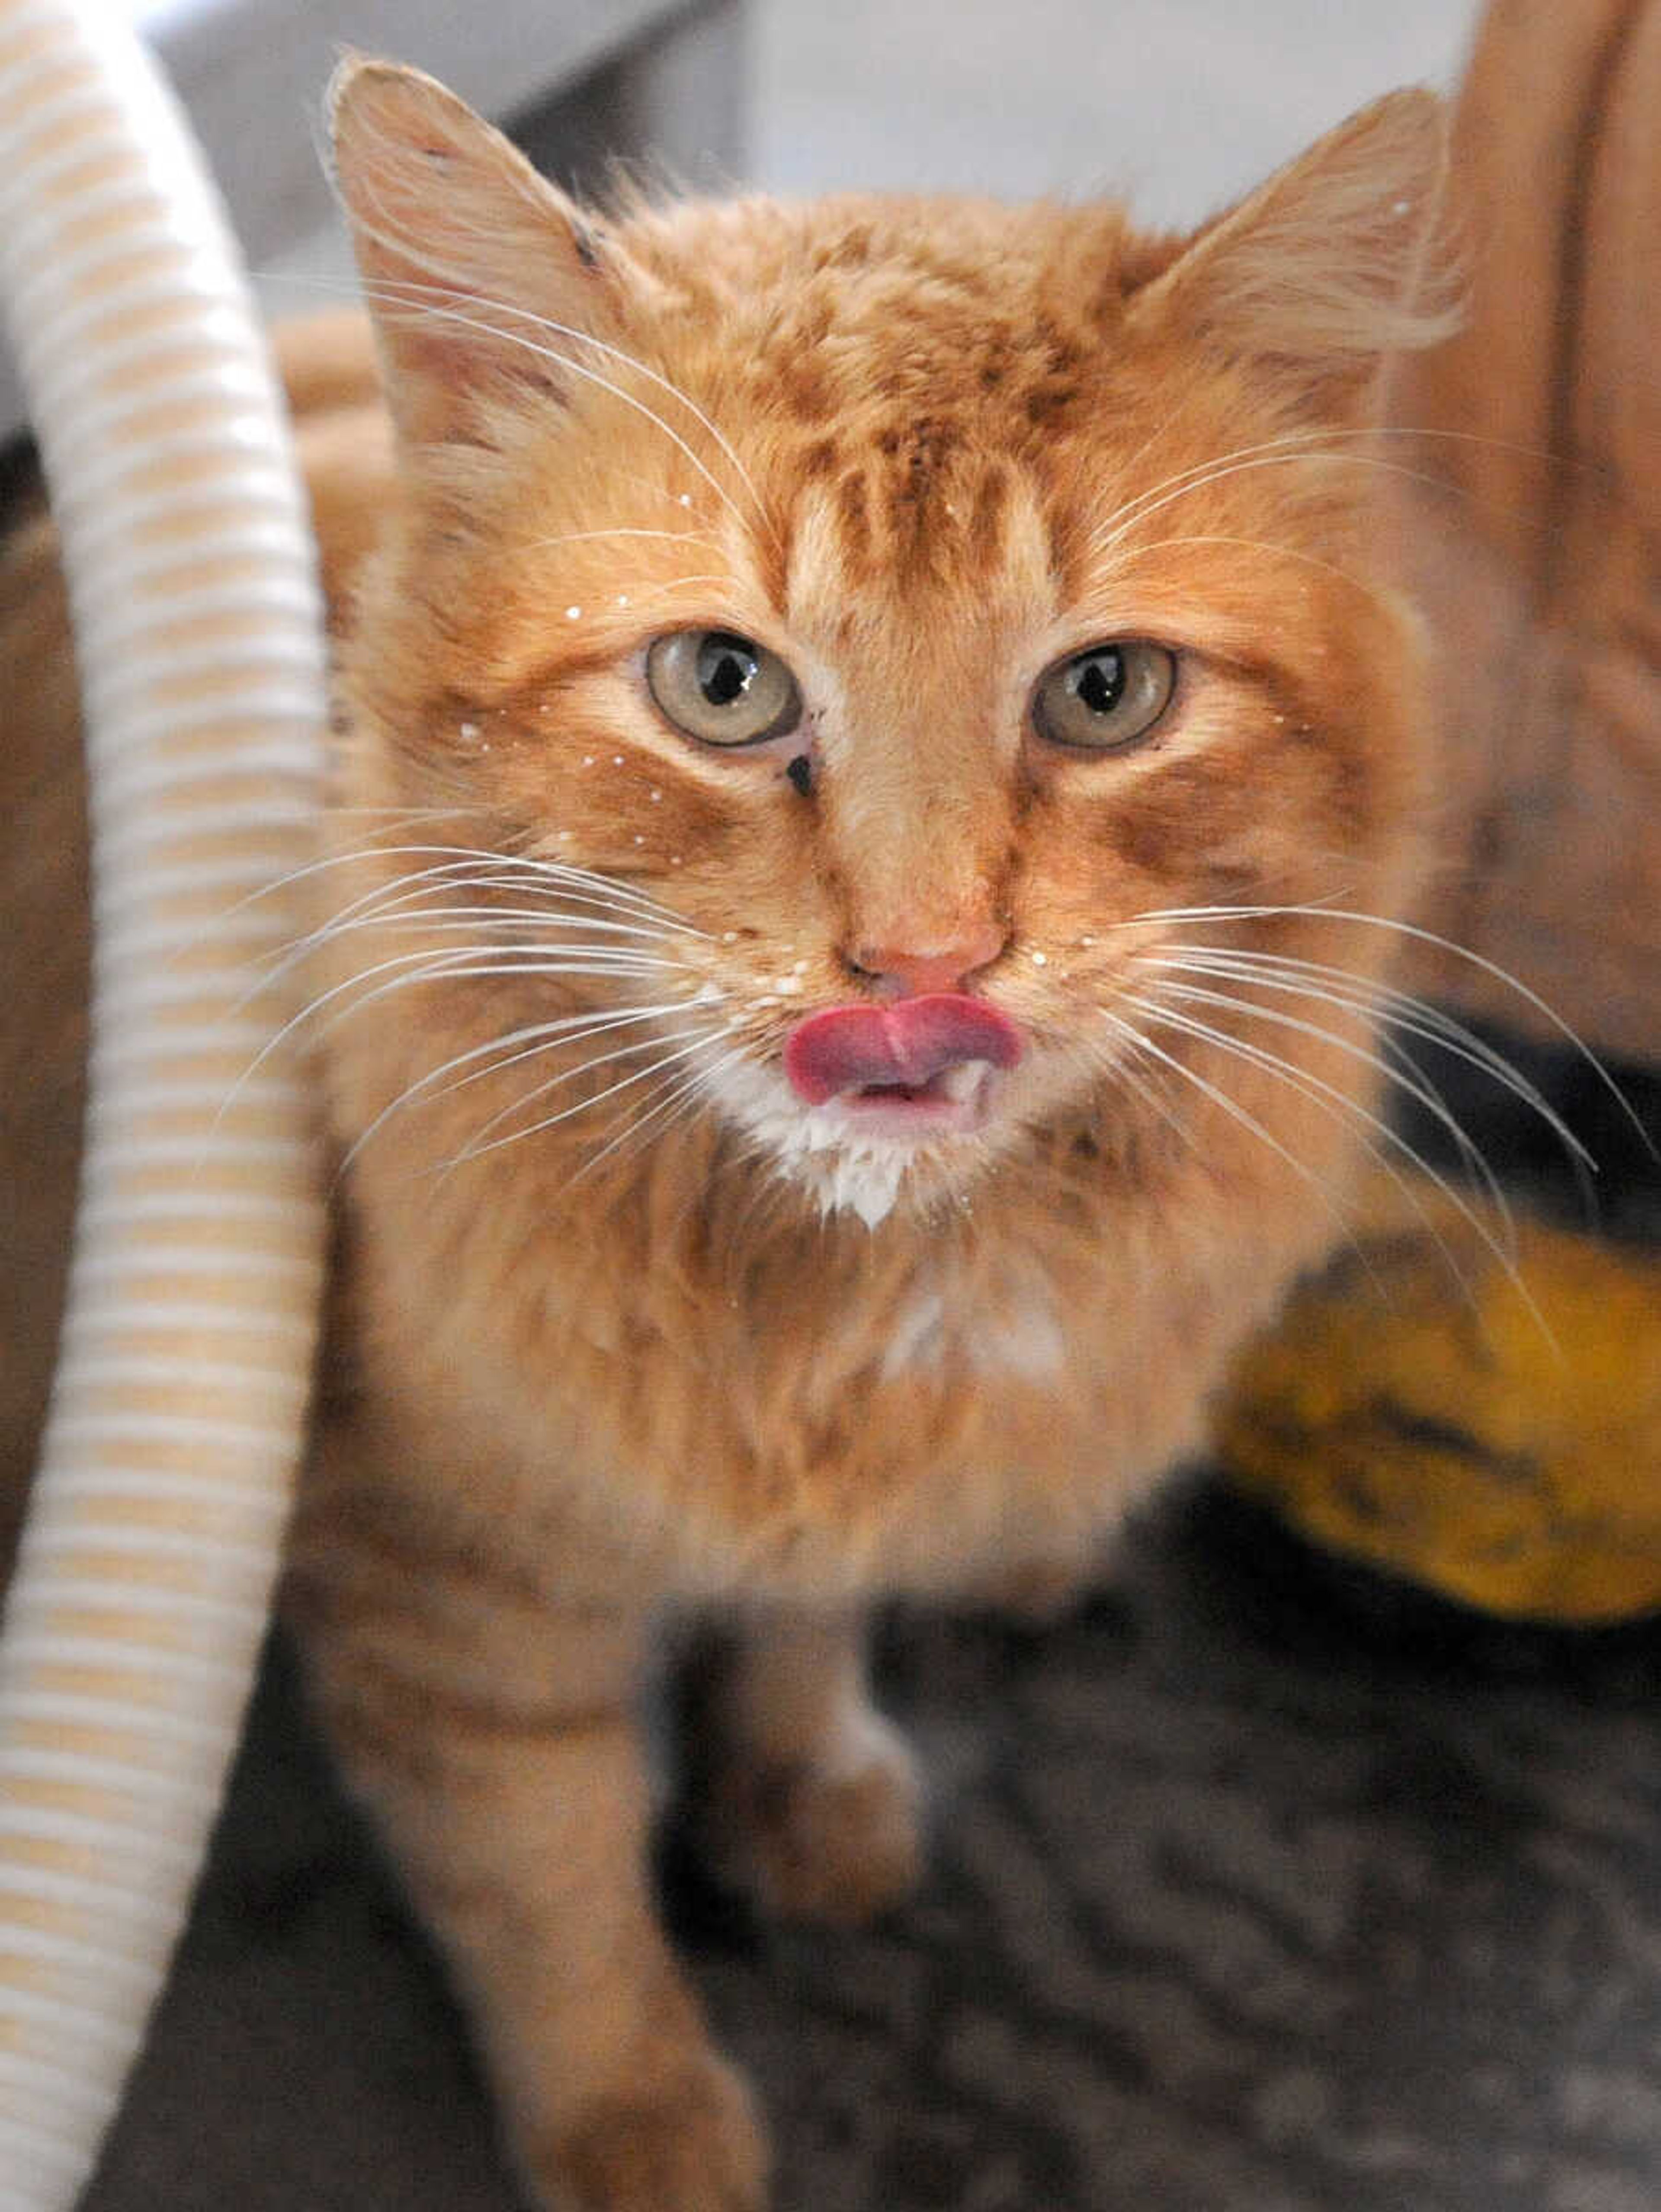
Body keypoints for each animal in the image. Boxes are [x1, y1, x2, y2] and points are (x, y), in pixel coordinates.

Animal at [3, 60, 1451, 2212]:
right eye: (720, 683)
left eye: (1106, 694)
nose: (923, 959)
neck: (849, 1286)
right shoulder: (441, 1573)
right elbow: (546, 1869)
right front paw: (637, 2112)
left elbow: (800, 1623)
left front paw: (803, 1778)